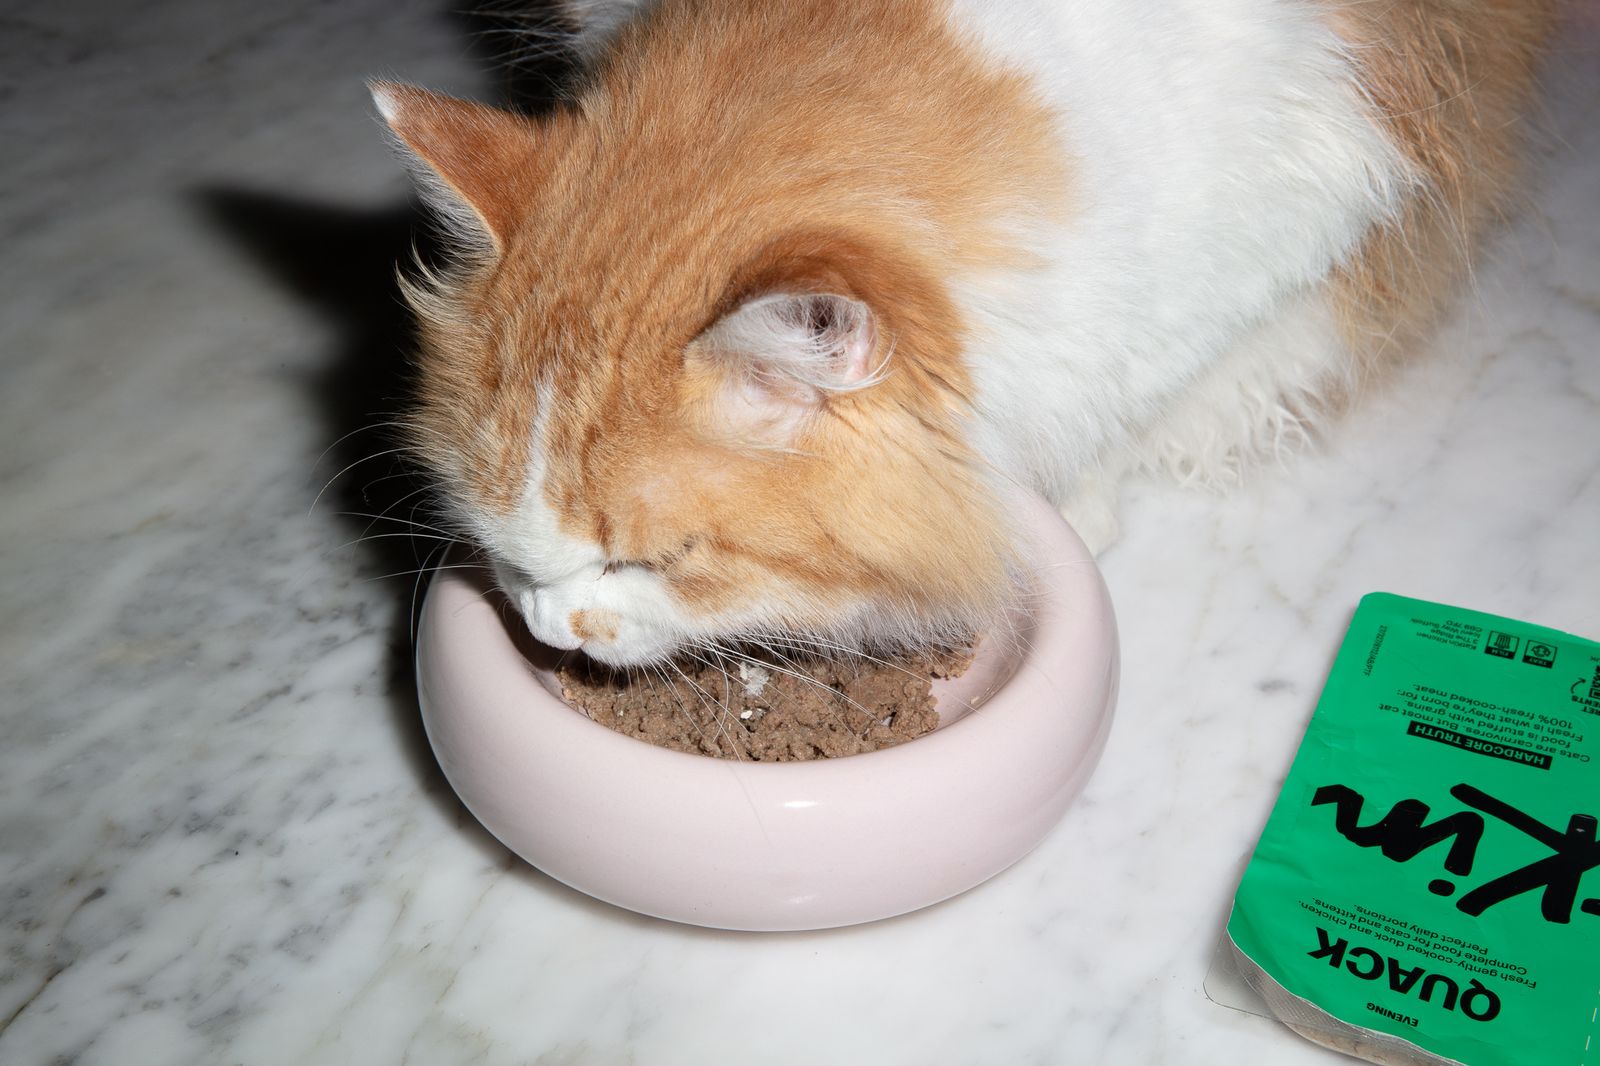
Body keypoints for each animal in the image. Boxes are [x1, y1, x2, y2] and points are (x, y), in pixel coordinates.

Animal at [371, 0, 1548, 665]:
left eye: (658, 561)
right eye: (502, 551)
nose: (545, 629)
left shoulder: (1314, 202)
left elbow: (1161, 383)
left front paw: (1088, 495)